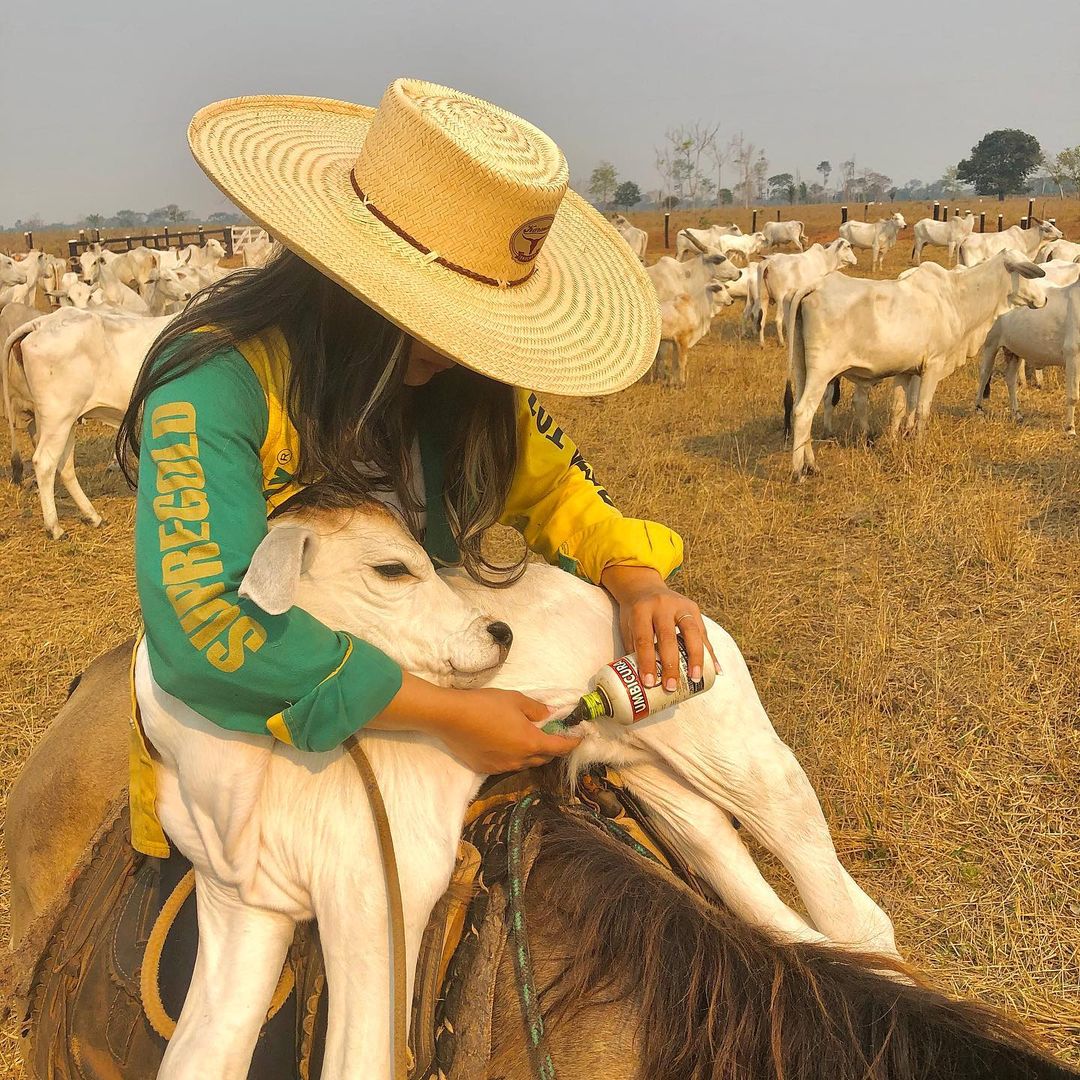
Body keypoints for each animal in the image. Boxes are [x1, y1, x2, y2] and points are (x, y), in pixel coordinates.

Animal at [3, 308, 174, 535]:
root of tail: (41, 323)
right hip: (59, 417)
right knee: (45, 462)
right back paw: (55, 528)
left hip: (63, 420)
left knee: (64, 465)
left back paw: (92, 516)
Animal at [786, 250, 1045, 479]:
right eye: (1027, 273)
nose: (1044, 298)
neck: (955, 298)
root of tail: (815, 286)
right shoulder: (933, 365)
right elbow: (921, 409)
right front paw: (919, 445)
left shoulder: (905, 371)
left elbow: (899, 408)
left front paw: (892, 441)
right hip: (821, 372)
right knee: (803, 411)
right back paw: (799, 470)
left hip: (802, 368)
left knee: (801, 409)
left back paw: (811, 465)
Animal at [976, 282, 1080, 429]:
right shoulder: (1073, 355)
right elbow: (1073, 396)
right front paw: (1070, 429)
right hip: (991, 344)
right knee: (984, 374)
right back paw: (978, 409)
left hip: (1014, 351)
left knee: (1010, 378)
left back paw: (1016, 414)